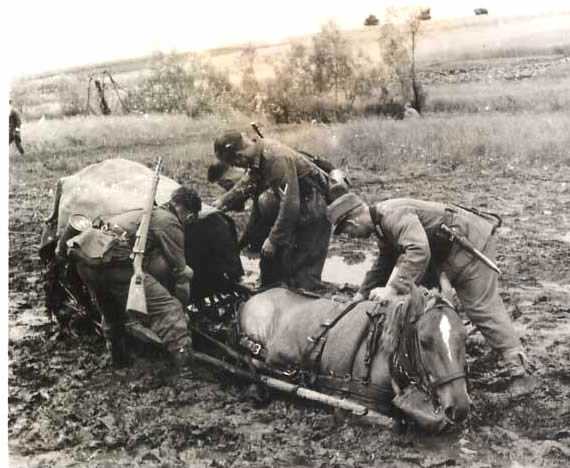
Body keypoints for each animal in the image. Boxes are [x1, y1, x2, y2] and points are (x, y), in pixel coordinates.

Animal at [237, 284, 468, 434]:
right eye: (424, 341)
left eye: (464, 337)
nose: (459, 407)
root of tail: (252, 298)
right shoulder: (357, 404)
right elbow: (394, 422)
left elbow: (435, 421)